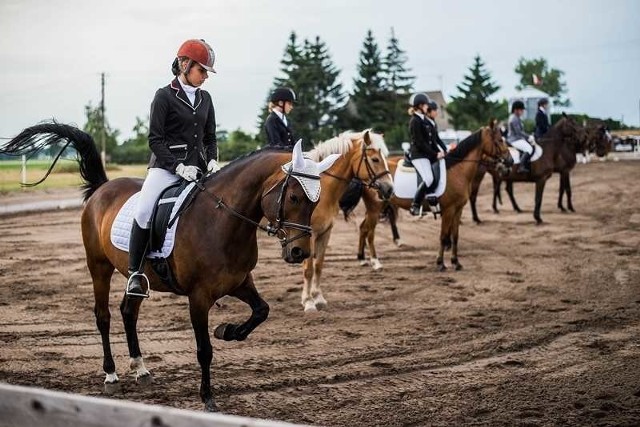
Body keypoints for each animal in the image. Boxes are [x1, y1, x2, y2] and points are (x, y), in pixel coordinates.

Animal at [0, 123, 340, 412]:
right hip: (98, 268)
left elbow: (261, 311)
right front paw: (208, 398)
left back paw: (141, 369)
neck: (222, 220)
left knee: (128, 311)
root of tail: (103, 189)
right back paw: (111, 374)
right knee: (103, 316)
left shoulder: (240, 282)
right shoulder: (199, 297)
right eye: (294, 196)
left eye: (315, 202)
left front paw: (229, 331)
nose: (299, 252)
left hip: (135, 277)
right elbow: (204, 349)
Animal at [302, 129, 396, 312]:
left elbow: (318, 265)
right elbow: (308, 268)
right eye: (375, 159)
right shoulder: (309, 234)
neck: (321, 190)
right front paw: (308, 302)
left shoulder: (325, 232)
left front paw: (318, 298)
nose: (390, 189)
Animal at [342, 120, 512, 272]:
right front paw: (440, 264)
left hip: (376, 206)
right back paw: (375, 262)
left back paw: (362, 259)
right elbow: (443, 236)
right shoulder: (448, 210)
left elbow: (455, 236)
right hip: (375, 208)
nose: (510, 161)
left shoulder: (458, 210)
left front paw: (456, 263)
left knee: (363, 228)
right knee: (369, 231)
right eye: (499, 140)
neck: (457, 170)